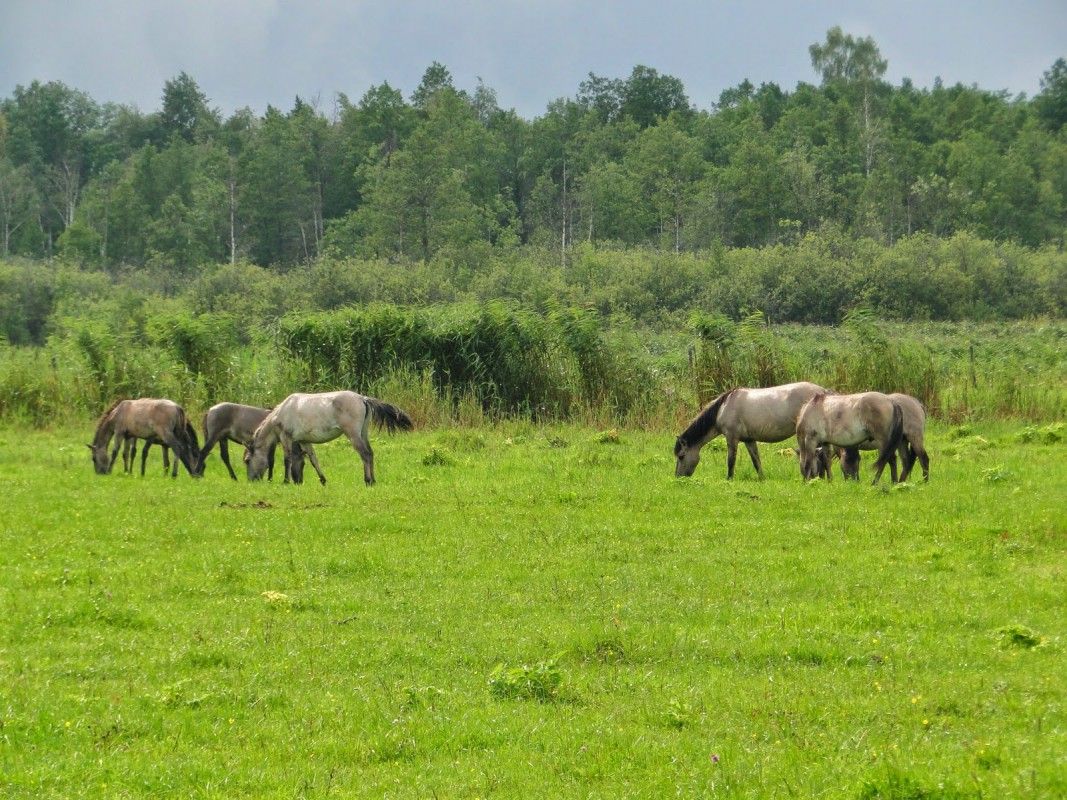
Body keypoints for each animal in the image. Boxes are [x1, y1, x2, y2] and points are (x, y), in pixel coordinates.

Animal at [246, 392, 411, 486]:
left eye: (247, 460)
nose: (251, 480)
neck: (283, 410)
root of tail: (362, 399)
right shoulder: (304, 441)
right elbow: (313, 459)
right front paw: (322, 480)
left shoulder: (285, 437)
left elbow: (287, 460)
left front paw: (286, 481)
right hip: (363, 434)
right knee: (370, 453)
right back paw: (374, 480)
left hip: (353, 435)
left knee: (364, 454)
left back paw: (368, 481)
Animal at [670, 384, 827, 480]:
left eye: (681, 456)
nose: (678, 477)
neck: (723, 408)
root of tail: (824, 392)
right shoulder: (749, 440)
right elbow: (756, 461)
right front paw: (762, 479)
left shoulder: (731, 438)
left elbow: (731, 461)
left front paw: (729, 479)